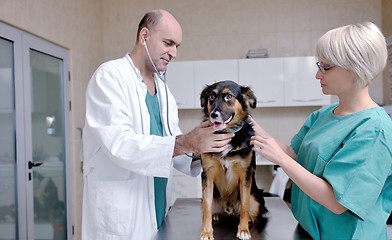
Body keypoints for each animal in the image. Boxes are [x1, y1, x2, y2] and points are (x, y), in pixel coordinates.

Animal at [199, 80, 266, 240]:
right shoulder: (207, 173)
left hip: (257, 197)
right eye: (211, 97)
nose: (214, 114)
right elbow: (206, 208)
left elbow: (245, 206)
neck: (225, 134)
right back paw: (216, 215)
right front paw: (206, 232)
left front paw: (243, 230)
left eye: (229, 96)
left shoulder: (246, 173)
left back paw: (249, 220)